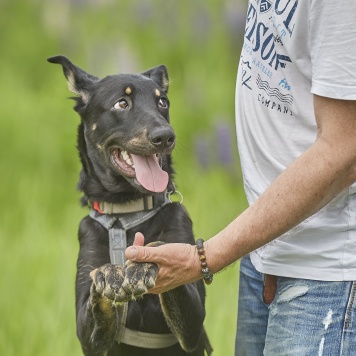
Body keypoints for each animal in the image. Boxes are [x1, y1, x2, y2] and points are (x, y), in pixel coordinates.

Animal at [47, 56, 211, 356]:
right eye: (122, 103)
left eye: (163, 102)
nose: (165, 136)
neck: (125, 213)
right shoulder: (88, 335)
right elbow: (95, 292)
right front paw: (110, 272)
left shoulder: (193, 328)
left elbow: (160, 246)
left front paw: (142, 265)